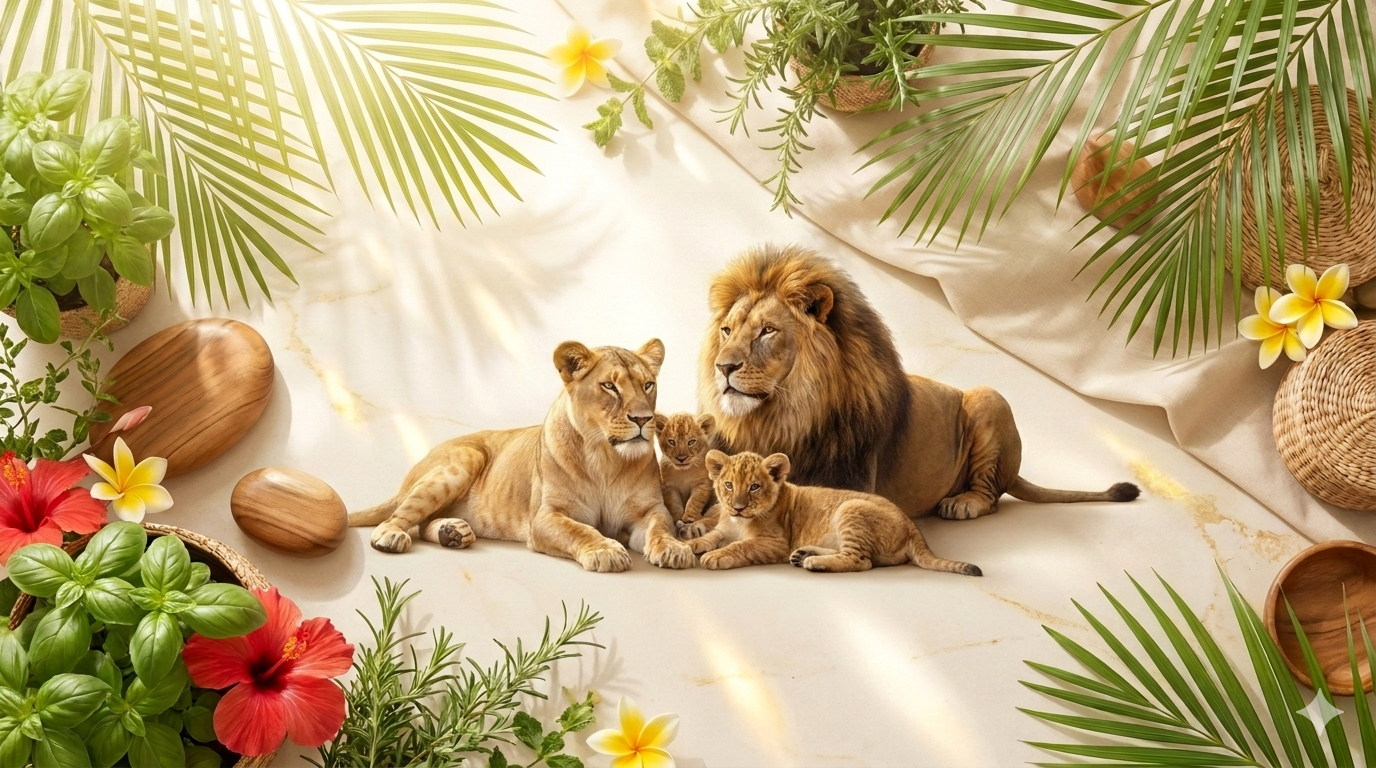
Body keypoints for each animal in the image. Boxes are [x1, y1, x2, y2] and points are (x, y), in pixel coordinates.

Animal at [348, 339, 695, 573]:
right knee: (399, 517)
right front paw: (604, 550)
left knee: (422, 524)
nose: (643, 419)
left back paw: (453, 533)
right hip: (464, 458)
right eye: (609, 386)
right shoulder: (545, 516)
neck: (605, 460)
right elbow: (580, 530)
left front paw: (675, 548)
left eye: (648, 385)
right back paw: (392, 536)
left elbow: (660, 527)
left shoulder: (649, 509)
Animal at [685, 450, 981, 575]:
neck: (738, 522)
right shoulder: (724, 528)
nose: (738, 507)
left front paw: (715, 556)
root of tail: (911, 526)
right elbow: (711, 537)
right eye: (728, 485)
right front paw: (691, 544)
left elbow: (740, 547)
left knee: (861, 561)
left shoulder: (775, 543)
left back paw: (814, 563)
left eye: (754, 487)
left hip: (850, 509)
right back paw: (805, 554)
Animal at [698, 244, 1139, 520]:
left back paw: (961, 504)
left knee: (991, 496)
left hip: (989, 398)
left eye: (767, 331)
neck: (784, 417)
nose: (723, 367)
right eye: (727, 329)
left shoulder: (844, 486)